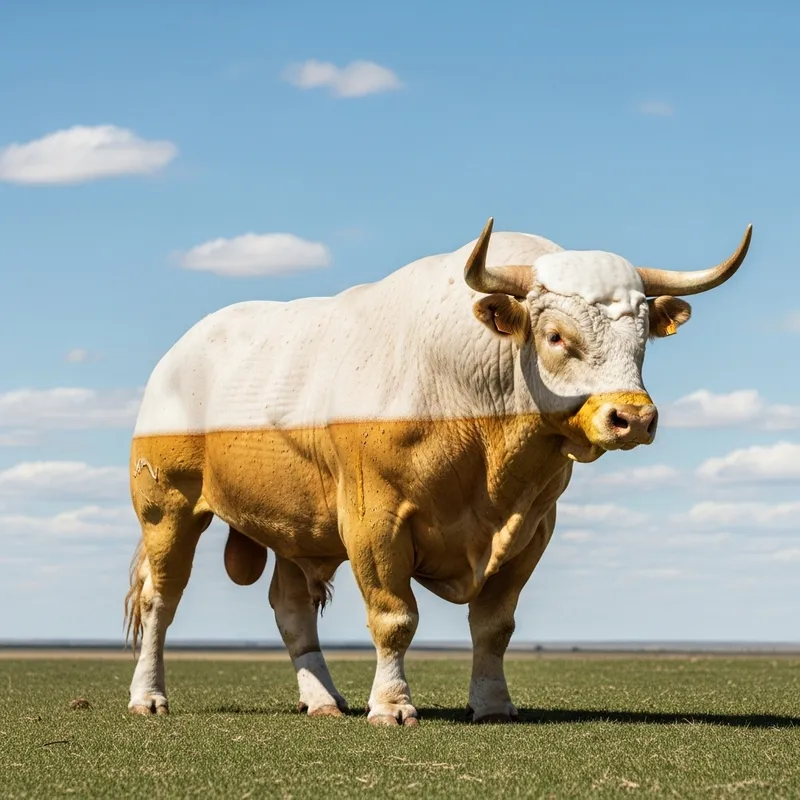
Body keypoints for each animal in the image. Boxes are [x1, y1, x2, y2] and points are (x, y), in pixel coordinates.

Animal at [123, 217, 752, 726]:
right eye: (556, 336)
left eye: (642, 338)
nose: (633, 418)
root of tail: (178, 357)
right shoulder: (374, 522)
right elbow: (395, 617)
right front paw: (392, 705)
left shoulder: (531, 530)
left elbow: (495, 625)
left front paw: (493, 704)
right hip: (167, 506)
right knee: (161, 598)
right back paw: (148, 697)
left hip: (295, 523)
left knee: (291, 606)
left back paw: (322, 699)